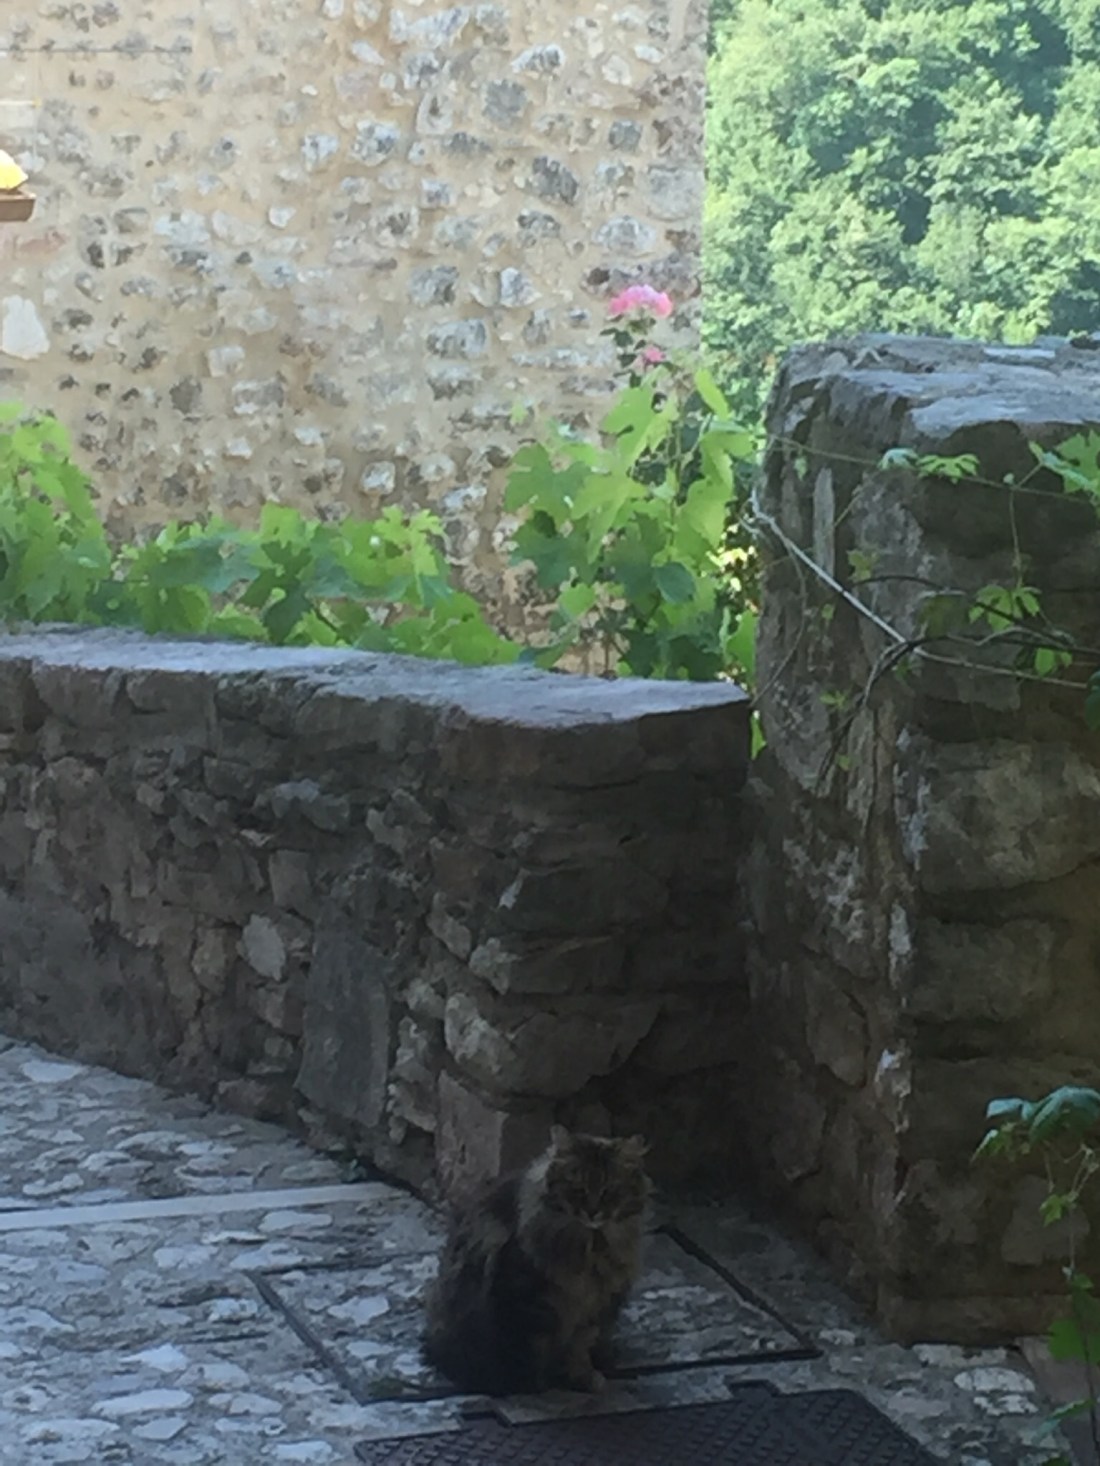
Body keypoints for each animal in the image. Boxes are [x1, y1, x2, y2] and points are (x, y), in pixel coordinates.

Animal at [421, 1126, 651, 1396]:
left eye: (608, 1191)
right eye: (578, 1189)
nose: (592, 1212)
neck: (591, 1249)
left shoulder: (594, 1307)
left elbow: (579, 1348)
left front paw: (584, 1378)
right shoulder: (528, 1300)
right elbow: (530, 1352)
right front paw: (535, 1388)